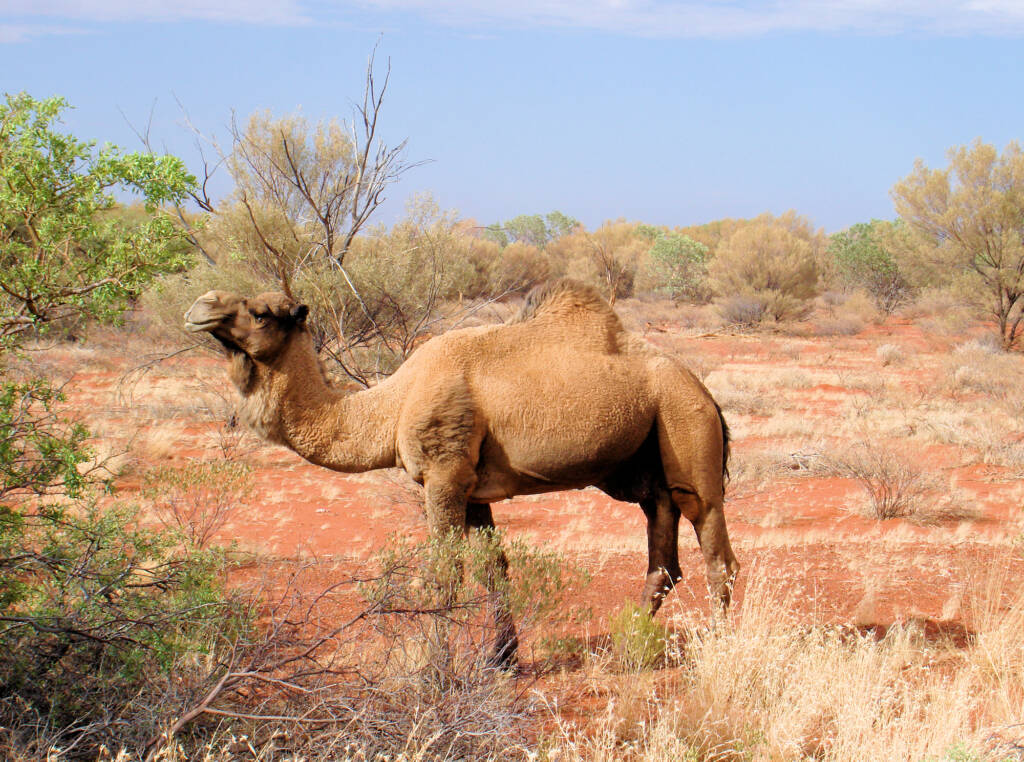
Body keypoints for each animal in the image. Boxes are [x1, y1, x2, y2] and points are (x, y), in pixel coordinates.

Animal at [184, 279, 739, 665]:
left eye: (260, 312)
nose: (200, 306)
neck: (392, 405)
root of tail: (705, 392)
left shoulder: (443, 474)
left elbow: (444, 575)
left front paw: (435, 669)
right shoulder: (473, 490)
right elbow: (494, 568)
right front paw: (501, 659)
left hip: (685, 426)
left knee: (715, 546)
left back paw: (719, 647)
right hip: (644, 467)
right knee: (663, 558)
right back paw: (625, 647)